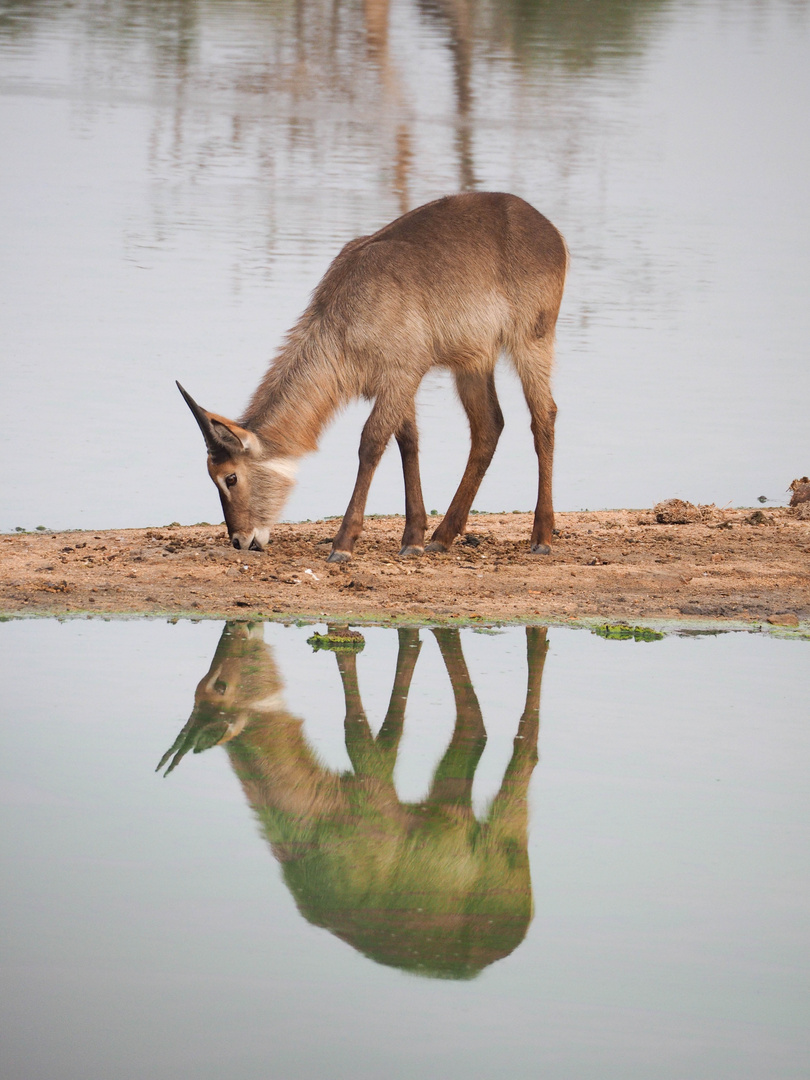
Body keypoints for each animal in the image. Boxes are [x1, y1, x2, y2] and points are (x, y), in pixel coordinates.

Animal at [158, 617, 548, 980]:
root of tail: (515, 933)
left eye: (219, 684)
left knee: (521, 751)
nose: (236, 627)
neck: (312, 825)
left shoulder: (374, 792)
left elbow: (353, 728)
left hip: (506, 831)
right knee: (473, 726)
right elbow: (392, 720)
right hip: (449, 801)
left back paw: (536, 634)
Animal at [180, 191, 565, 561]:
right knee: (489, 425)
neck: (346, 311)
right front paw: (413, 538)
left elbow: (371, 443)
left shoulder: (401, 374)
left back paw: (541, 537)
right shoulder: (397, 382)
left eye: (230, 477)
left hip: (532, 340)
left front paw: (343, 544)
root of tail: (547, 228)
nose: (239, 540)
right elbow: (408, 442)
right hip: (472, 361)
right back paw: (443, 536)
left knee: (543, 416)